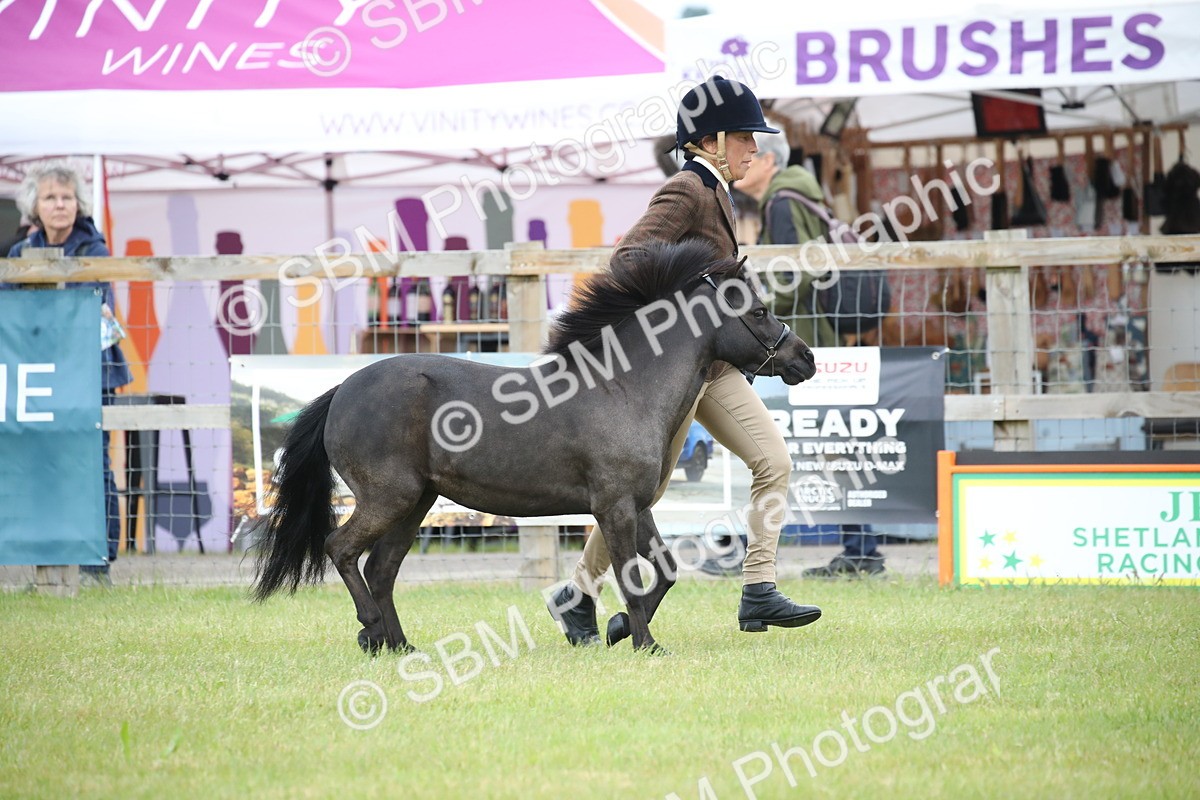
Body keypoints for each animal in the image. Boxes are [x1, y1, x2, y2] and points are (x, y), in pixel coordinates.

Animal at [252, 239, 816, 653]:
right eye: (758, 311)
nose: (805, 358)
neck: (624, 387)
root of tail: (343, 390)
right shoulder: (614, 507)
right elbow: (632, 577)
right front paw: (644, 643)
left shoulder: (635, 505)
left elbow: (664, 573)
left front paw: (615, 629)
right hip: (389, 497)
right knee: (342, 550)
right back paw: (371, 632)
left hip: (416, 503)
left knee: (381, 568)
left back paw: (399, 645)